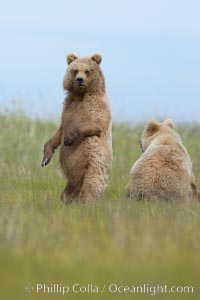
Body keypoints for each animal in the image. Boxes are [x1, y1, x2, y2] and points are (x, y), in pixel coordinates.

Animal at [41, 54, 112, 204]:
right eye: (75, 70)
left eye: (87, 71)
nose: (79, 79)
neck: (80, 96)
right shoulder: (67, 109)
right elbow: (59, 132)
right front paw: (46, 157)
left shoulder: (96, 107)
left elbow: (95, 124)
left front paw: (69, 138)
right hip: (72, 181)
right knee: (66, 194)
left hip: (93, 167)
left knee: (91, 187)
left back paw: (86, 202)